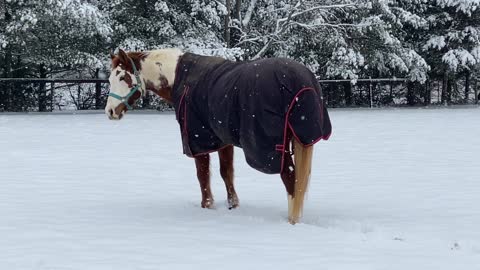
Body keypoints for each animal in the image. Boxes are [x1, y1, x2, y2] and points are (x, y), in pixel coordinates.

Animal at [105, 48, 332, 224]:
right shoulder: (223, 140)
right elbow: (227, 173)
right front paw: (233, 206)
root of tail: (301, 82)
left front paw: (207, 206)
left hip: (276, 150)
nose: (110, 112)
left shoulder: (196, 139)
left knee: (291, 180)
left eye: (122, 77)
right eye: (110, 78)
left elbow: (203, 175)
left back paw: (292, 222)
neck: (180, 77)